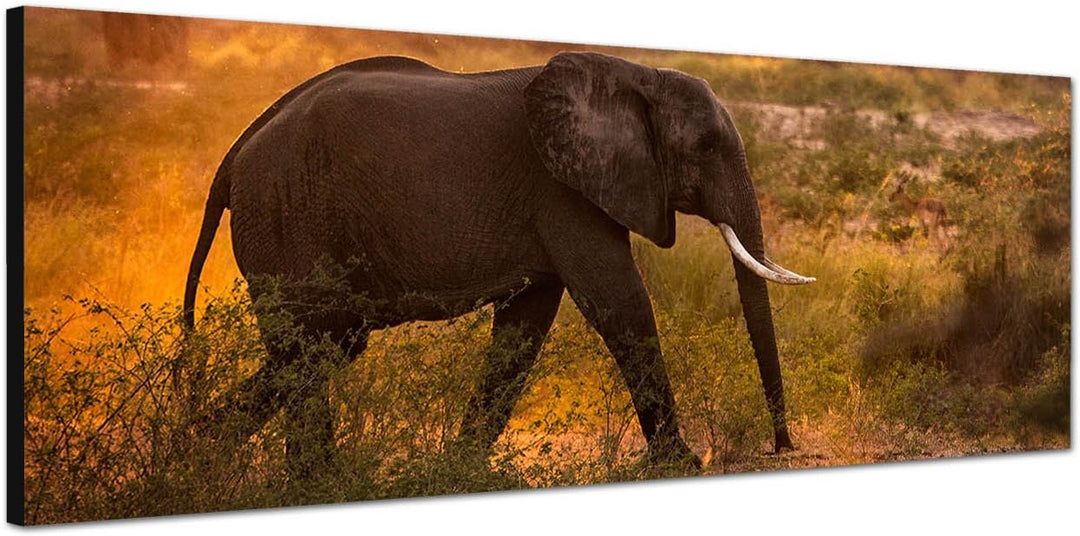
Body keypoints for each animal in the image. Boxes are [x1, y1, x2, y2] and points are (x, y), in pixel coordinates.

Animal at [183, 52, 814, 476]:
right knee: (312, 342)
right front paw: (682, 465)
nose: (782, 446)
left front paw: (462, 470)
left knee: (326, 346)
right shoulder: (561, 191)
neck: (636, 74)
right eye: (705, 147)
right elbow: (620, 304)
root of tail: (234, 156)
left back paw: (201, 451)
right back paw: (310, 479)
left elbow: (524, 327)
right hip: (288, 214)